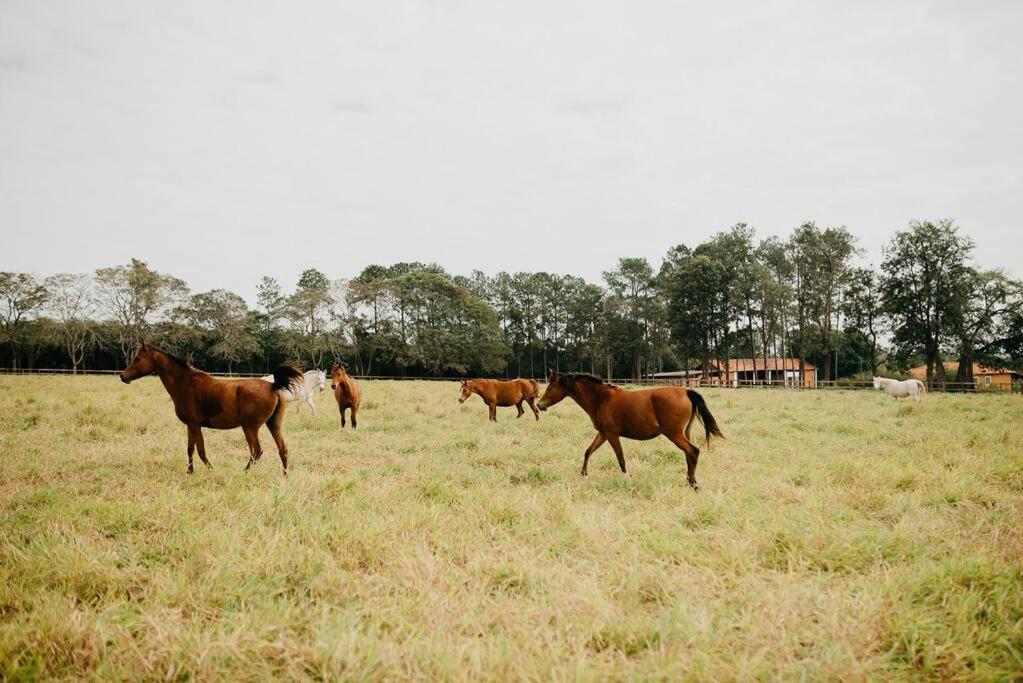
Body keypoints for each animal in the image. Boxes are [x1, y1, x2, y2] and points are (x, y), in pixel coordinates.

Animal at [119, 341, 300, 474]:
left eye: (137, 358)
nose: (123, 376)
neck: (186, 384)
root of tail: (273, 386)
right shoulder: (190, 426)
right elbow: (190, 449)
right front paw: (190, 472)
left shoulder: (194, 425)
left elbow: (201, 451)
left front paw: (211, 470)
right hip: (273, 424)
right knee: (282, 449)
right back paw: (284, 476)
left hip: (250, 427)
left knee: (257, 451)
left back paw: (245, 472)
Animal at [536, 370, 720, 488]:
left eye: (549, 388)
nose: (539, 405)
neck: (601, 399)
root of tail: (686, 391)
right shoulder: (603, 434)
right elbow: (588, 451)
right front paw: (583, 473)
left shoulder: (612, 435)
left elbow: (621, 458)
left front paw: (626, 479)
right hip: (684, 433)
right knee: (689, 454)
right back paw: (690, 480)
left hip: (674, 434)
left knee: (693, 451)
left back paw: (693, 483)